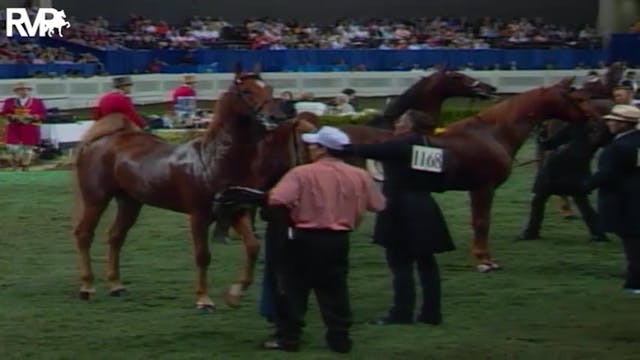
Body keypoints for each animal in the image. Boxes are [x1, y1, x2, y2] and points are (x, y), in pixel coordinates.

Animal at [70, 67, 288, 310]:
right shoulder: (198, 216)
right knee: (84, 235)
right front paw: (204, 300)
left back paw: (116, 285)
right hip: (96, 199)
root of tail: (101, 140)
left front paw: (236, 292)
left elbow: (252, 247)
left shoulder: (235, 210)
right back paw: (87, 287)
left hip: (130, 202)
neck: (213, 159)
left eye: (269, 88)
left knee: (116, 236)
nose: (276, 117)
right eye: (247, 91)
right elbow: (203, 255)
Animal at [342, 78, 604, 270]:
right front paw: (484, 260)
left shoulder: (474, 189)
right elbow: (482, 222)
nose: (596, 120)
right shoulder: (483, 188)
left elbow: (477, 221)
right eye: (578, 98)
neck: (491, 134)